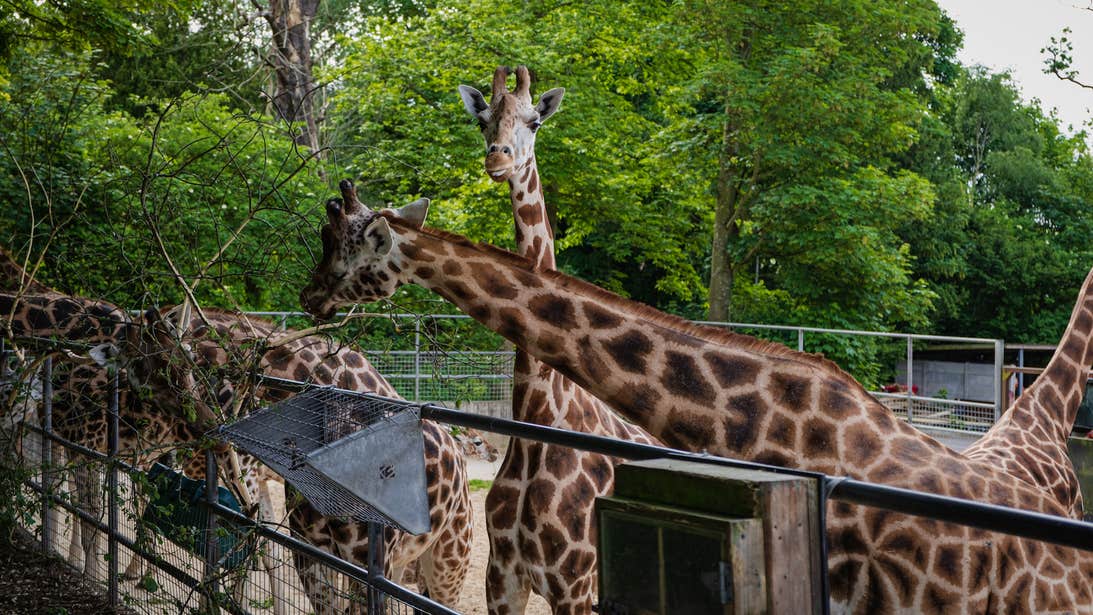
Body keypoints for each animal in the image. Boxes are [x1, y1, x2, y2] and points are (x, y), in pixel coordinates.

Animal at [459, 64, 655, 611]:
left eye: (535, 121)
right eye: (482, 119)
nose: (498, 159)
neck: (538, 424)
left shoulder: (574, 583)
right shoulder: (503, 579)